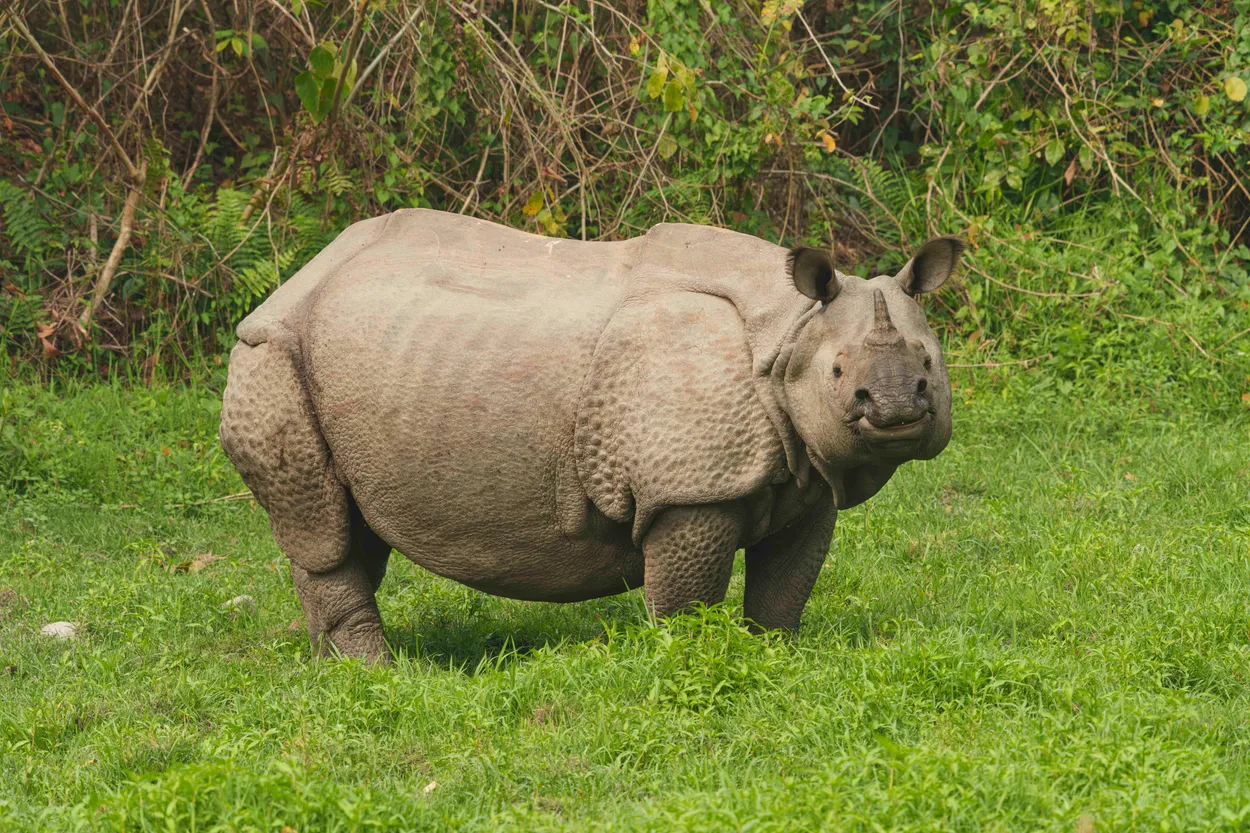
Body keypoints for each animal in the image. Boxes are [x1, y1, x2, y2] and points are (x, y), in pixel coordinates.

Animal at [219, 209, 963, 661]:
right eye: (839, 372)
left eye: (929, 363)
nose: (896, 407)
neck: (789, 333)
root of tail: (298, 278)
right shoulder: (688, 490)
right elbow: (688, 598)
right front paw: (691, 661)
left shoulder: (804, 473)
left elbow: (785, 585)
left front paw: (773, 656)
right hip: (268, 354)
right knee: (322, 532)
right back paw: (378, 673)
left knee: (352, 526)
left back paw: (343, 667)